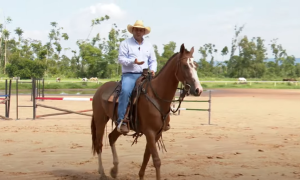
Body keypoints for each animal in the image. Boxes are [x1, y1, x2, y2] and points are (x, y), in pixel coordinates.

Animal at [91, 43, 203, 179]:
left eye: (196, 66)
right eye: (185, 65)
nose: (198, 90)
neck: (156, 97)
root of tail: (99, 89)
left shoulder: (157, 133)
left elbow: (146, 157)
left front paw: (141, 175)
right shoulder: (149, 132)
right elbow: (156, 160)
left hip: (119, 125)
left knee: (111, 137)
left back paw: (114, 170)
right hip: (100, 120)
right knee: (99, 145)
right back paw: (102, 173)